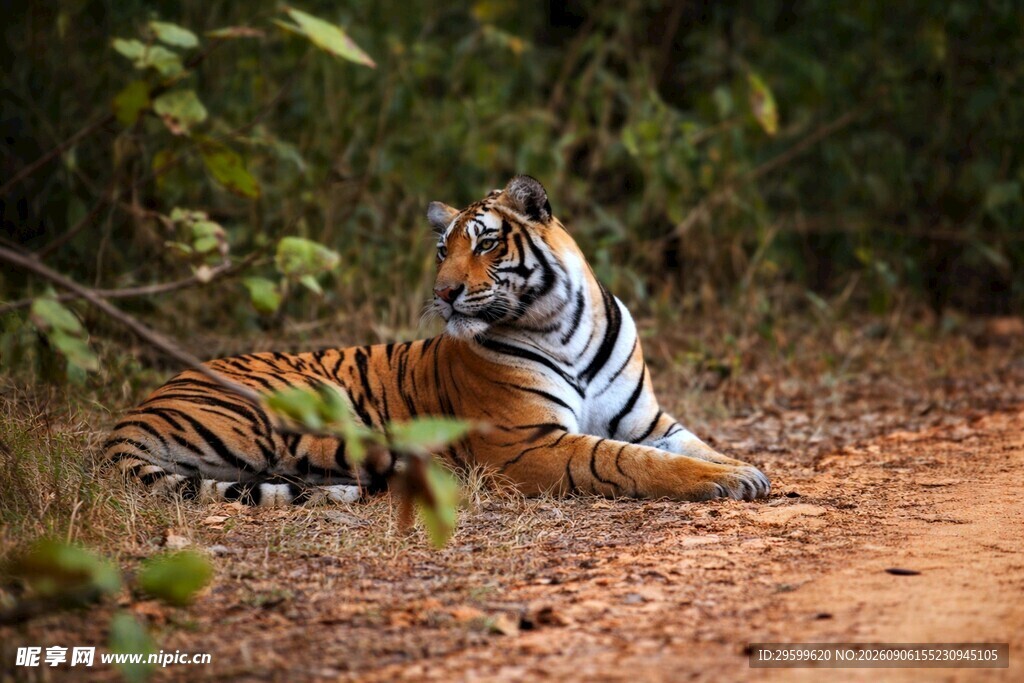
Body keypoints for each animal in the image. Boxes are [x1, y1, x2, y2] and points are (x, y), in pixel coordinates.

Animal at [104, 176, 770, 505]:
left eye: (486, 244)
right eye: (441, 251)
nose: (444, 293)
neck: (564, 326)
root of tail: (135, 412)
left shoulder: (648, 419)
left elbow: (694, 445)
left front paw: (745, 469)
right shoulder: (527, 443)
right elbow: (626, 461)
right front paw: (724, 481)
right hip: (304, 408)